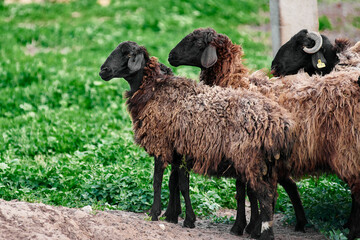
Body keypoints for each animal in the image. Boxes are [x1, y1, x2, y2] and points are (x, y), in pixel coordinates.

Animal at [98, 41, 296, 240]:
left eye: (127, 54)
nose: (103, 70)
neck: (153, 89)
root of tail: (280, 123)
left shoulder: (161, 143)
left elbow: (157, 181)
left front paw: (155, 214)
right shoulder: (178, 151)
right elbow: (178, 183)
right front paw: (178, 217)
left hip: (250, 159)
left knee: (265, 195)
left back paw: (264, 233)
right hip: (264, 163)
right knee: (269, 194)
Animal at [169, 27, 306, 235]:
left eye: (198, 43)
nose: (171, 56)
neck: (234, 82)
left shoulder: (244, 154)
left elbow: (246, 192)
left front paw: (245, 226)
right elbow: (245, 192)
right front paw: (249, 225)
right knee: (288, 185)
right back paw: (300, 223)